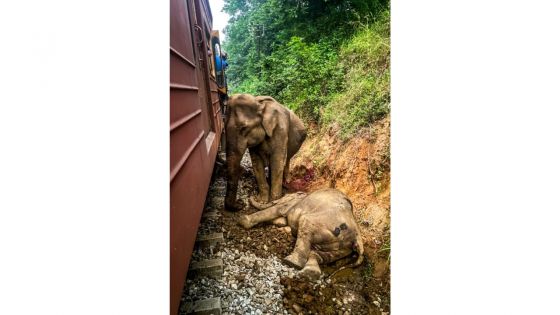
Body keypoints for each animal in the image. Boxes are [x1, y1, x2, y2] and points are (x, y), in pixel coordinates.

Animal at [235, 189, 364, 280]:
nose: (252, 195)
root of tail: (357, 237)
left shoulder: (290, 204)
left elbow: (277, 210)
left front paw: (242, 221)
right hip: (342, 248)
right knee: (322, 255)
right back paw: (309, 274)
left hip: (324, 226)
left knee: (306, 228)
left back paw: (291, 263)